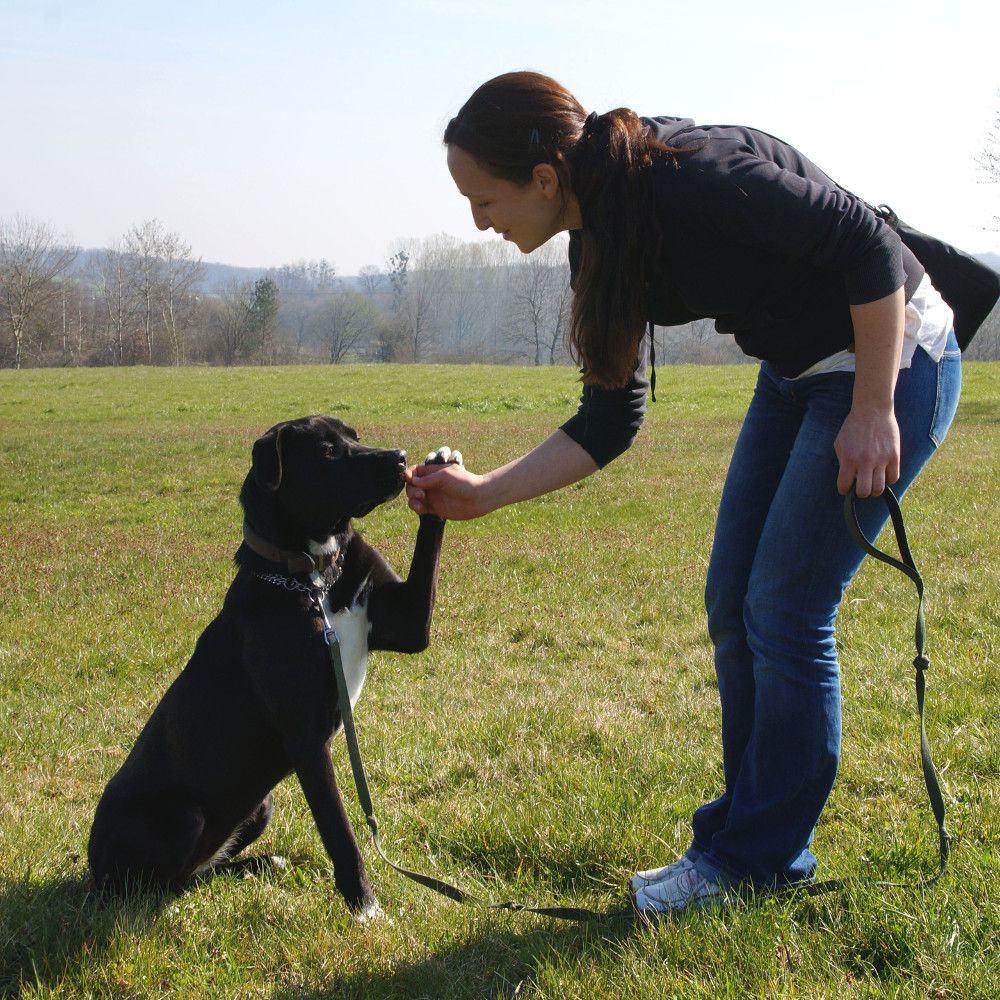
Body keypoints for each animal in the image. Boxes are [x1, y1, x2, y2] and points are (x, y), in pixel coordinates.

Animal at [88, 414, 458, 920]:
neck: (314, 578)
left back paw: (261, 865)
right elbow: (340, 832)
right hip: (182, 816)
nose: (399, 457)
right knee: (159, 884)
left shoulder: (406, 624)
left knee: (199, 872)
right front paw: (364, 907)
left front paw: (441, 470)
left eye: (356, 437)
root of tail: (90, 867)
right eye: (326, 450)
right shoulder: (307, 740)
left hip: (258, 808)